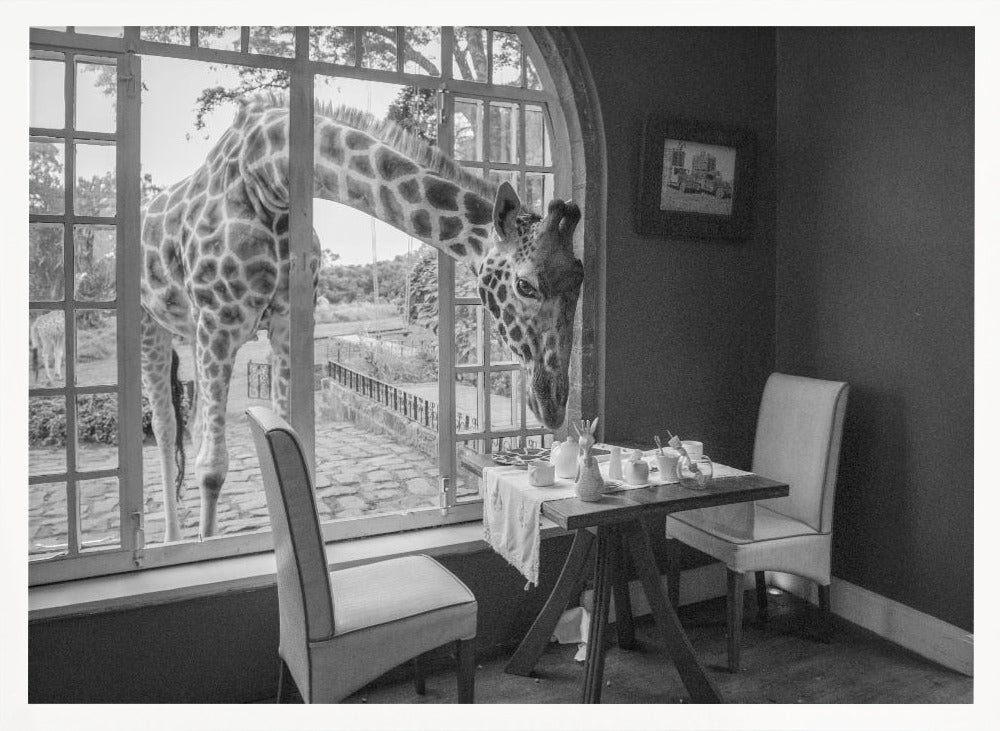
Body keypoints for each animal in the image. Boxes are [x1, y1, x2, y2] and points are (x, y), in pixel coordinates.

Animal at [140, 96, 584, 542]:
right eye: (525, 286)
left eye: (581, 279)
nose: (553, 405)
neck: (268, 178)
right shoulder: (220, 320)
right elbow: (212, 468)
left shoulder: (282, 324)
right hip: (155, 325)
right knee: (164, 426)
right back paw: (172, 539)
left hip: (192, 333)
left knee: (192, 424)